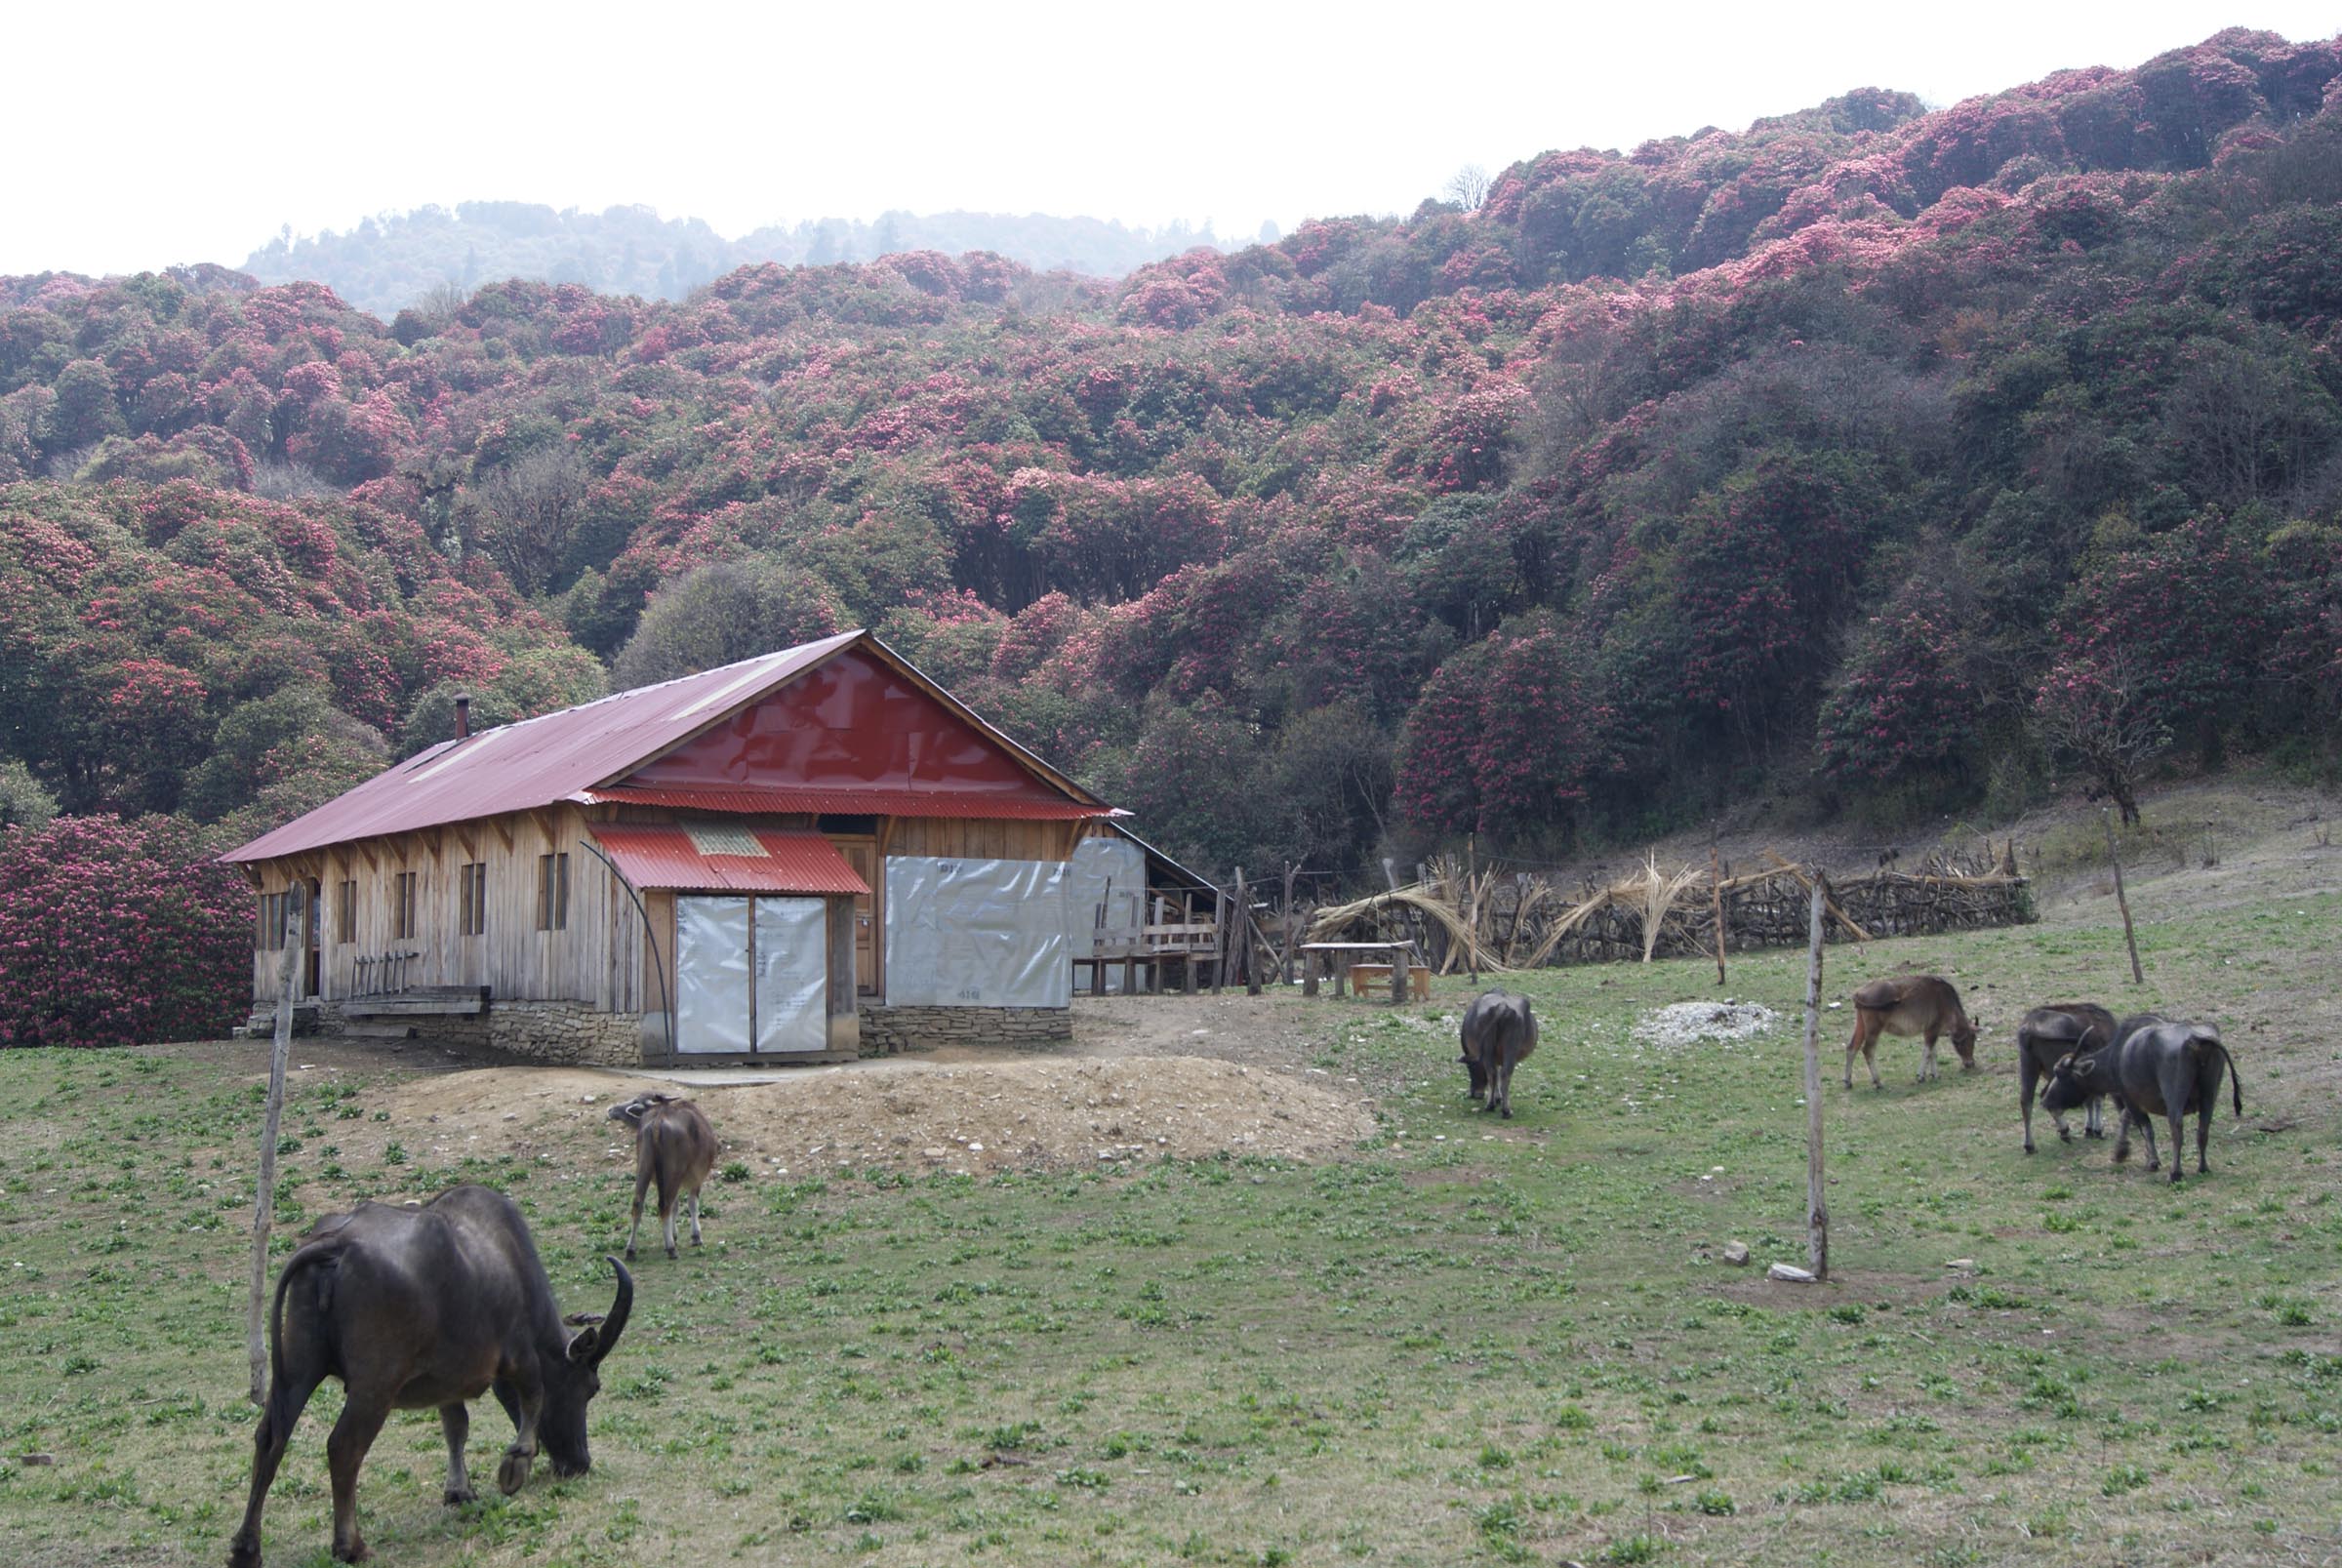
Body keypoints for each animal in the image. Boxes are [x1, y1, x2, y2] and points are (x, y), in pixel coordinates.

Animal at [229, 1193, 632, 1568]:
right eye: (590, 1388)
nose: (579, 1462)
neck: (507, 1260)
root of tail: (337, 1245)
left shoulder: (448, 1381)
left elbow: (456, 1427)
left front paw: (459, 1490)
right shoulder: (519, 1355)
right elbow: (534, 1397)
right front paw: (515, 1466)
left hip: (297, 1367)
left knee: (271, 1439)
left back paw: (246, 1548)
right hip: (375, 1385)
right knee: (343, 1447)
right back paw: (351, 1546)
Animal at [604, 1100, 711, 1272]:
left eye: (635, 1101)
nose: (611, 1110)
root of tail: (657, 1122)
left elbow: (676, 1206)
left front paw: (673, 1235)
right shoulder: (696, 1178)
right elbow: (692, 1204)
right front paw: (695, 1237)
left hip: (644, 1166)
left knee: (638, 1204)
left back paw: (631, 1250)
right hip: (673, 1172)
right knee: (664, 1205)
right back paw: (671, 1249)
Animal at [1845, 983, 1976, 1095]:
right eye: (1967, 1040)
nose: (1970, 1063)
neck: (1944, 1000)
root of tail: (1859, 993)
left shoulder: (1932, 1032)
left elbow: (1933, 1053)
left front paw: (1935, 1075)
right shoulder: (1931, 1031)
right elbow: (1927, 1052)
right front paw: (1920, 1076)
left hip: (1861, 1025)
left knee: (1852, 1047)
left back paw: (1848, 1082)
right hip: (1874, 1030)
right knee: (1867, 1050)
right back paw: (1878, 1083)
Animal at [2014, 1006, 2126, 1155]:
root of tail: (2030, 1026)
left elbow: (2089, 1101)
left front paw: (2089, 1129)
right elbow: (2096, 1100)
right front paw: (2097, 1130)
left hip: (2029, 1064)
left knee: (2026, 1100)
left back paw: (2030, 1145)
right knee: (2046, 1099)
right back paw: (2064, 1130)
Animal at [2051, 1015, 2248, 1184]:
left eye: (2061, 1074)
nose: (2048, 1100)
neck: (2118, 1054)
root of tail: (2195, 1039)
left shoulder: (2131, 1098)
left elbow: (2145, 1128)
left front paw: (2150, 1161)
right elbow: (2127, 1118)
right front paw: (2121, 1151)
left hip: (2174, 1096)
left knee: (2177, 1129)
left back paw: (2175, 1173)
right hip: (2210, 1094)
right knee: (2203, 1130)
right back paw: (2203, 1167)